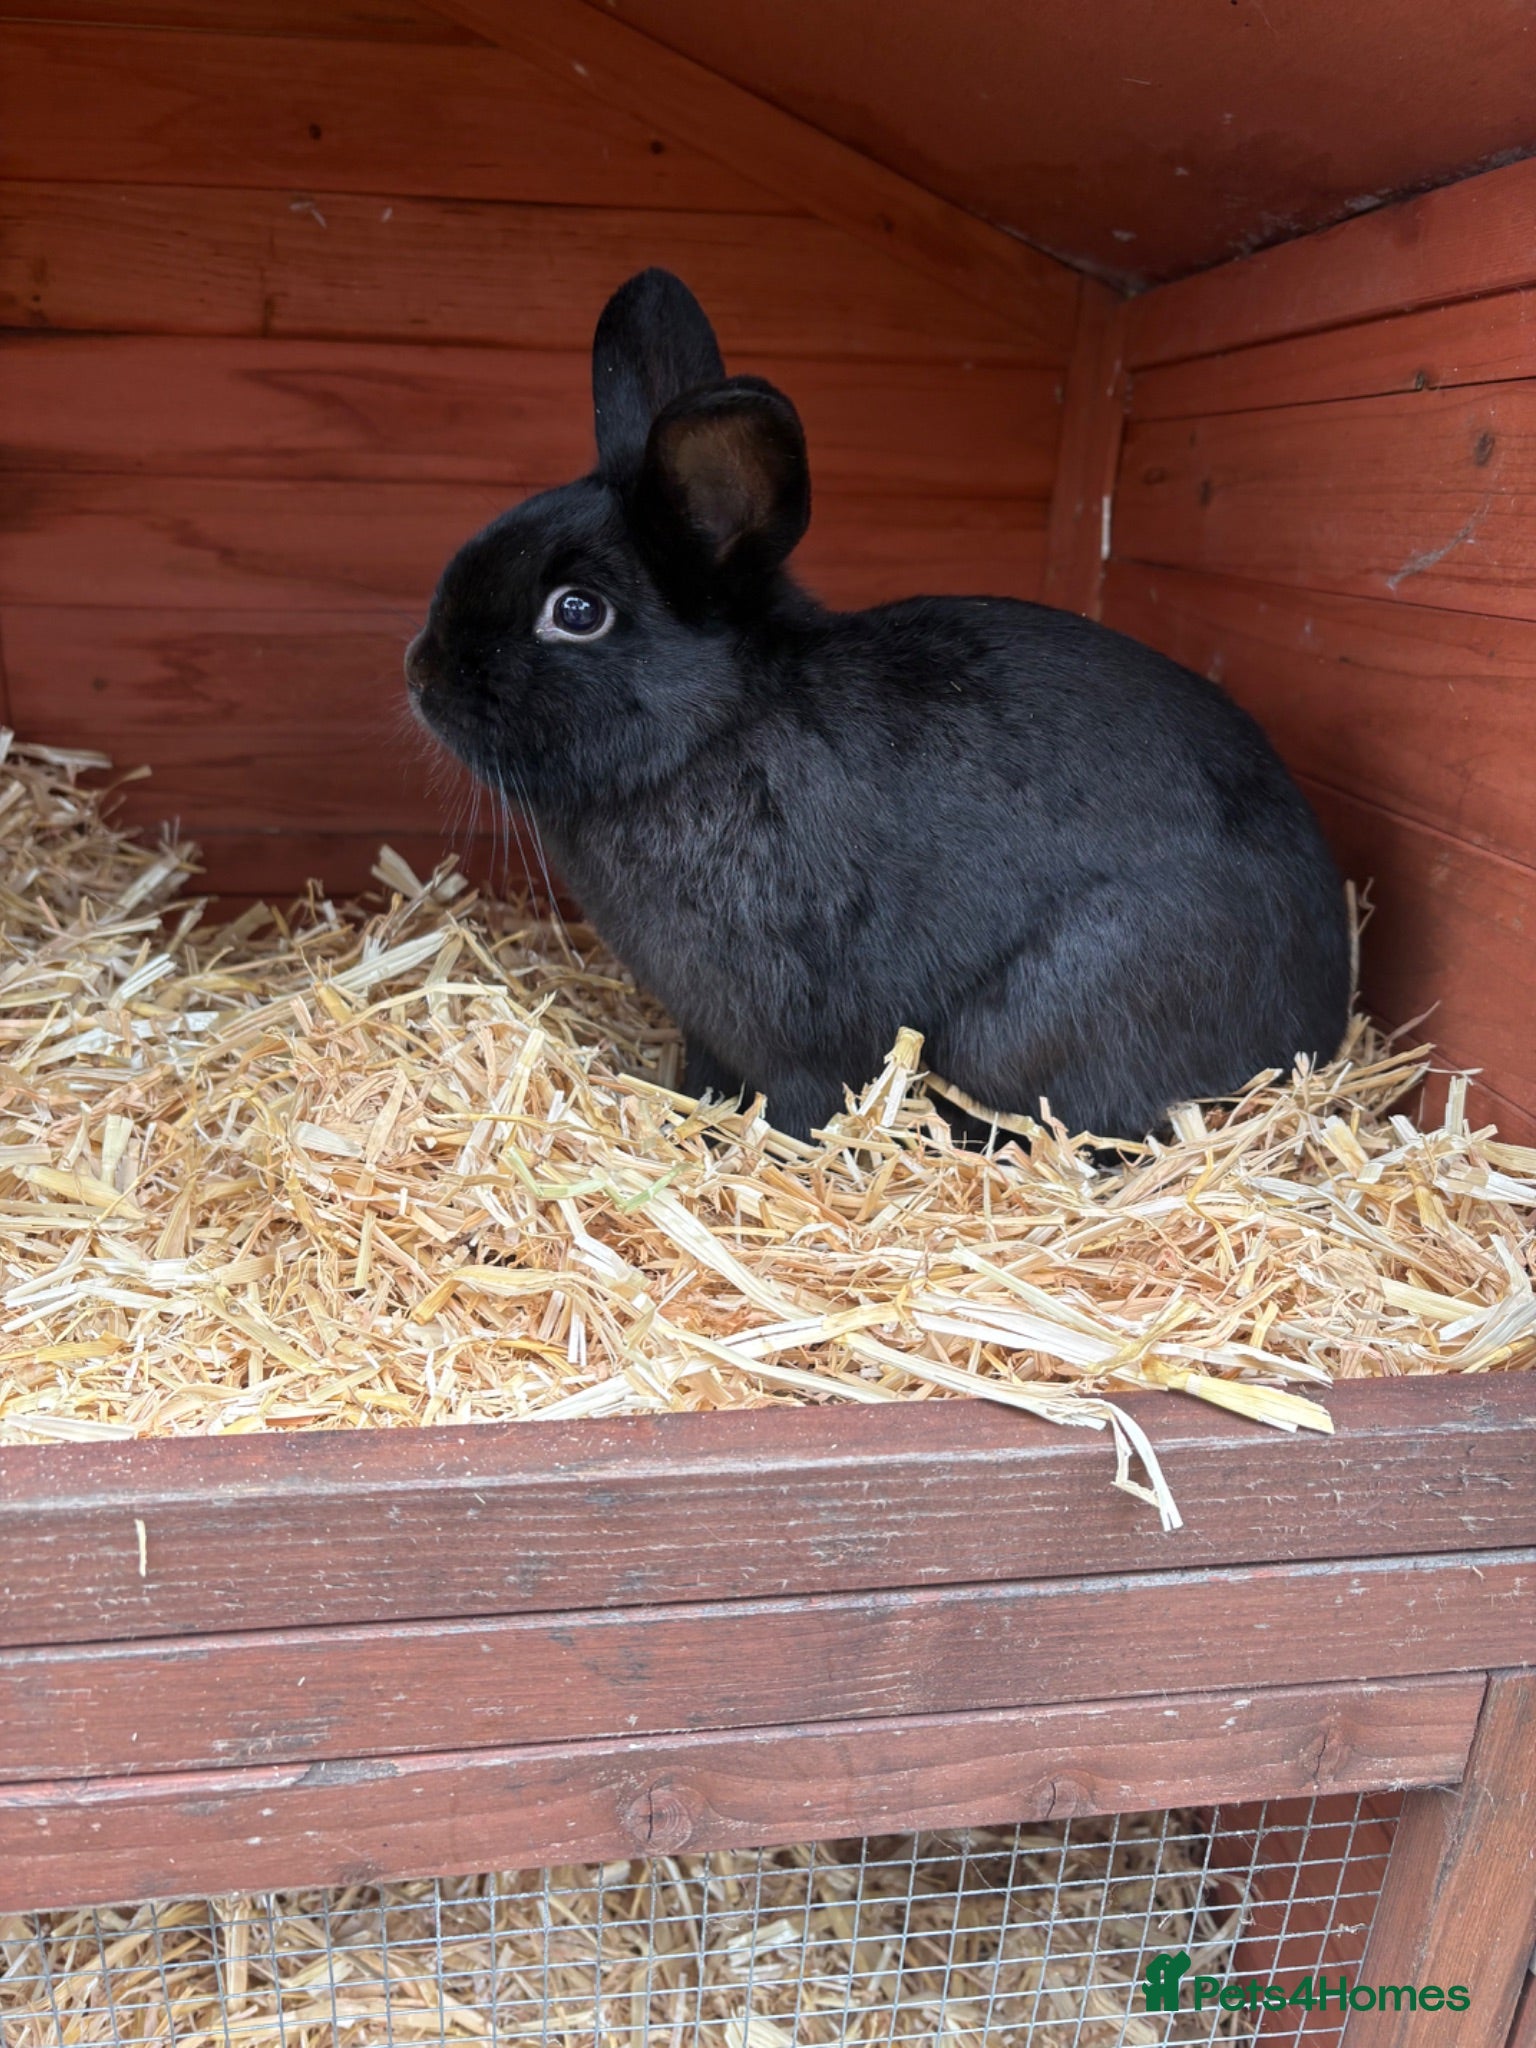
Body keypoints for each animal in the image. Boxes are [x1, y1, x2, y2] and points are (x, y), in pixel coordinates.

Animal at [406, 267, 1351, 1145]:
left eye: (576, 612)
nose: (423, 673)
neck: (717, 730)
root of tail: (1321, 1020)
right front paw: (694, 1117)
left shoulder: (796, 1027)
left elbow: (802, 1106)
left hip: (1035, 1020)